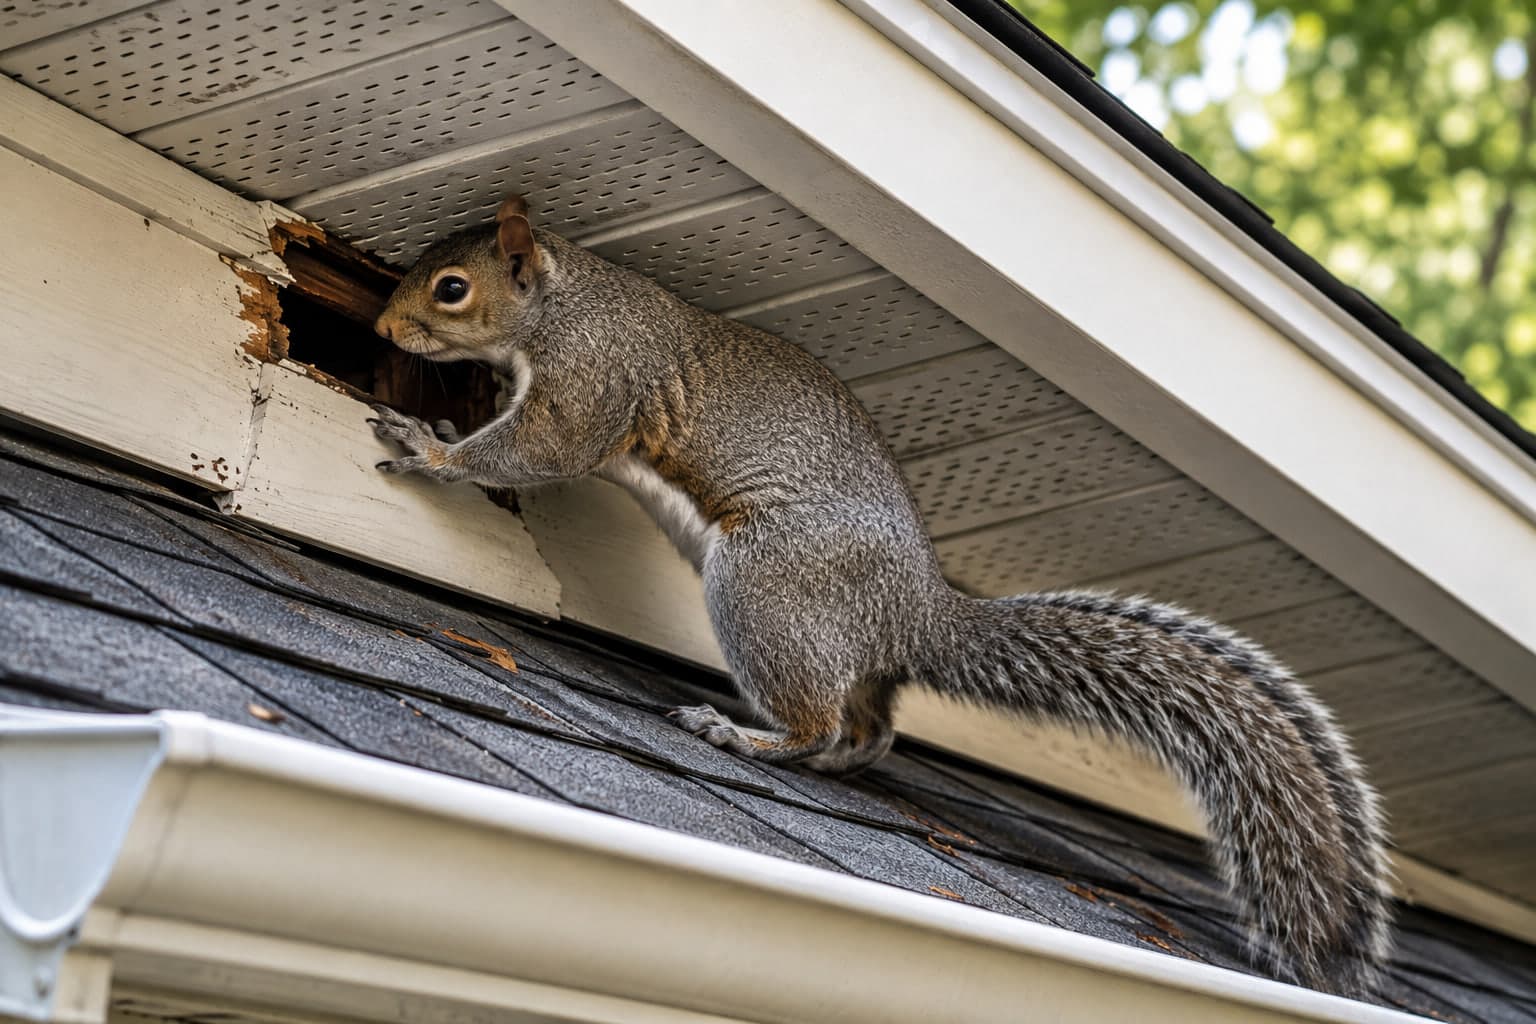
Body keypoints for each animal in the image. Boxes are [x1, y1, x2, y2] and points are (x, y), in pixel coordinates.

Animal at [369, 193, 1391, 995]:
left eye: (451, 287)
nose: (381, 332)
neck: (567, 304)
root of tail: (914, 608)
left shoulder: (591, 383)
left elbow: (541, 450)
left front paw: (432, 452)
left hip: (767, 586)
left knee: (819, 716)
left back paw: (745, 734)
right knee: (869, 730)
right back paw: (830, 760)